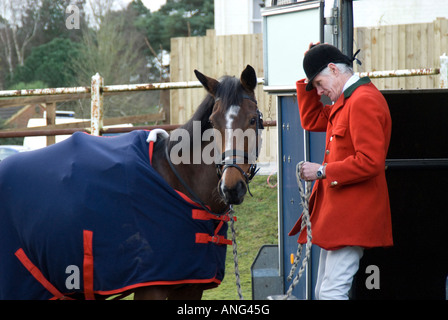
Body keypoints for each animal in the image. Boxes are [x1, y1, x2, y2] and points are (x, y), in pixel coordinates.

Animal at [0, 65, 264, 300]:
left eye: (252, 120)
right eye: (214, 122)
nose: (231, 187)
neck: (177, 184)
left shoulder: (190, 286)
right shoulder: (151, 287)